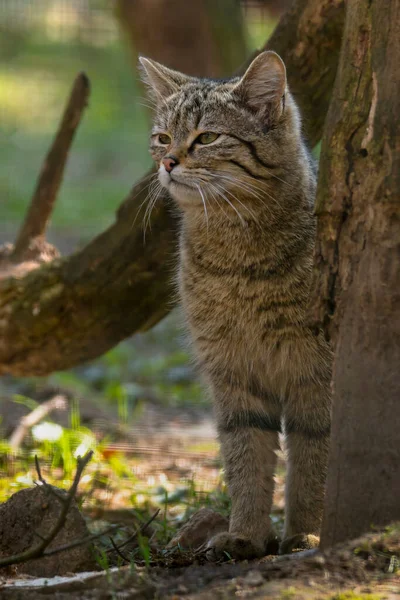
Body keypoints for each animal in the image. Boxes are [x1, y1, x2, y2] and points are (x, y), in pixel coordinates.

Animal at [139, 50, 332, 556]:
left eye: (207, 137)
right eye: (162, 138)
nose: (168, 162)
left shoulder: (317, 376)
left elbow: (313, 461)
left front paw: (308, 533)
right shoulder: (233, 370)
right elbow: (247, 458)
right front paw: (245, 532)